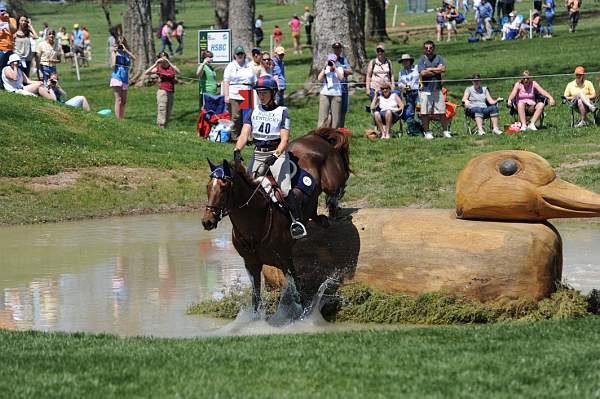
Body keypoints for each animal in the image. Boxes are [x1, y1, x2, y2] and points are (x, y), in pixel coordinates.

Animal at [203, 128, 352, 312]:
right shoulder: (251, 264)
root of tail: (313, 137)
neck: (254, 226)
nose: (207, 221)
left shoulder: (286, 259)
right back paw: (323, 218)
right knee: (315, 212)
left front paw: (302, 315)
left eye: (224, 188)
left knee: (340, 184)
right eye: (208, 187)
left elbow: (296, 293)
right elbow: (256, 299)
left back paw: (333, 204)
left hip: (332, 179)